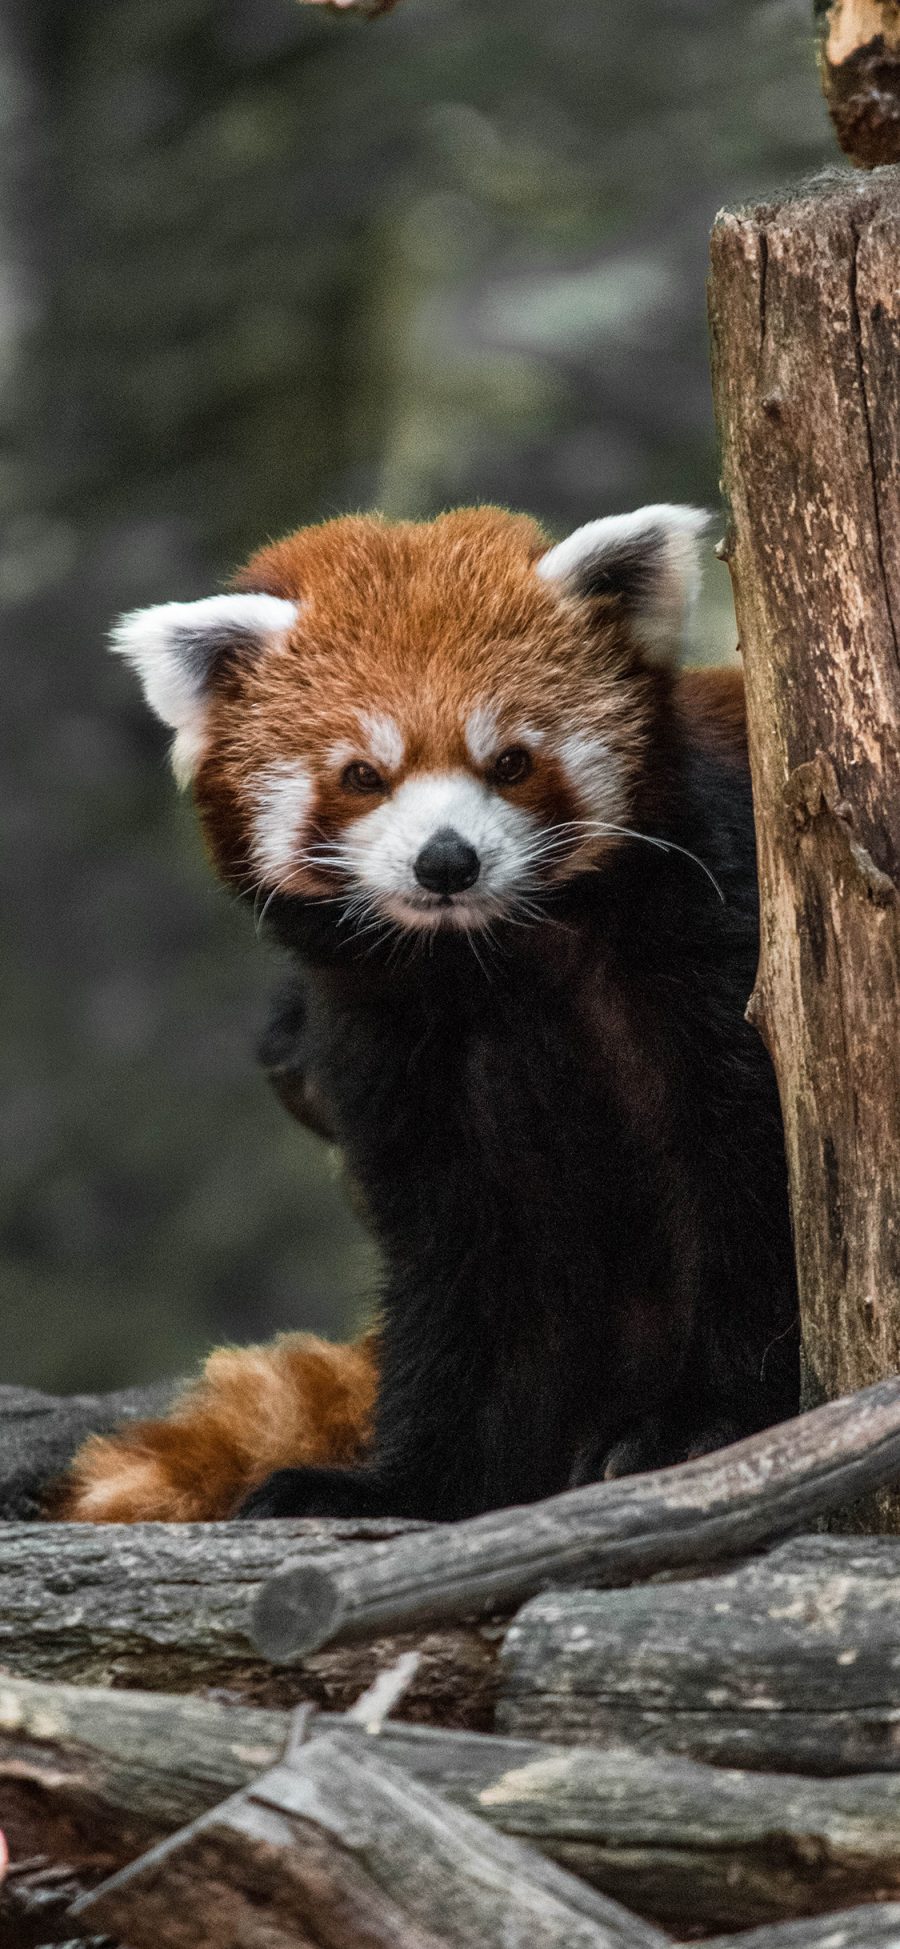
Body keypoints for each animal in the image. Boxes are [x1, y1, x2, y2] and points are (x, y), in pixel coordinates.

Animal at [61, 502, 794, 1520]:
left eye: (512, 762)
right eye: (363, 775)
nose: (447, 860)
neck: (500, 963)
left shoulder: (717, 946)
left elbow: (751, 1192)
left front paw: (702, 1422)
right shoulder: (397, 1050)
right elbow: (458, 1272)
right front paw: (404, 1484)